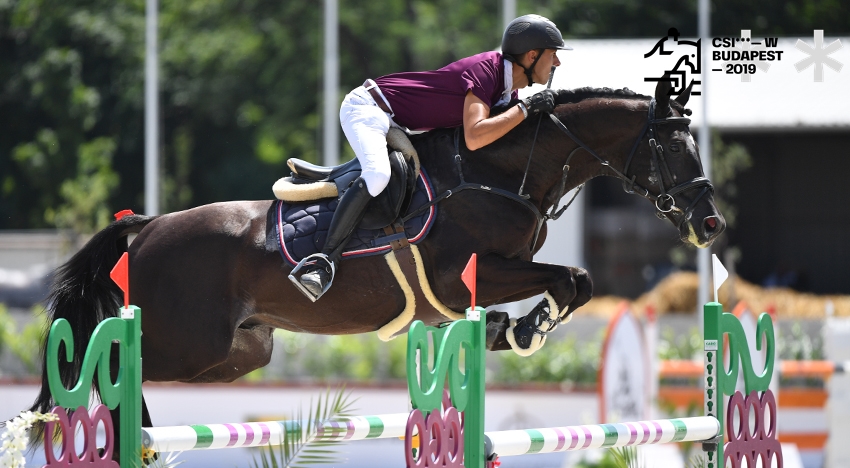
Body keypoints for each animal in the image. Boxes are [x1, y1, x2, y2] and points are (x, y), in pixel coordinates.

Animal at [31, 78, 724, 456]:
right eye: (672, 148)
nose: (711, 225)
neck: (498, 171)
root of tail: (146, 227)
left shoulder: (492, 273)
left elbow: (575, 282)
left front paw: (513, 330)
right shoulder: (463, 275)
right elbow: (566, 279)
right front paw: (524, 328)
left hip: (237, 354)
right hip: (188, 340)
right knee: (103, 361)